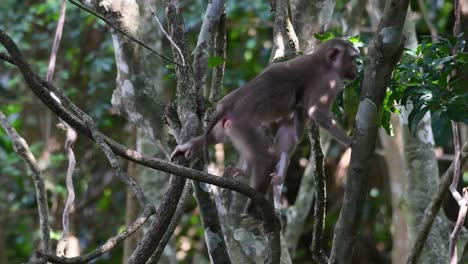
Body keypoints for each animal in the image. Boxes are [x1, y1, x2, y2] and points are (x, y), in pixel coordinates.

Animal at [172, 38, 358, 212]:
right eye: (354, 58)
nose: (356, 69)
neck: (322, 60)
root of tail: (228, 104)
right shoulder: (330, 81)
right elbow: (316, 113)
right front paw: (349, 142)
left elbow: (291, 127)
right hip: (242, 124)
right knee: (266, 157)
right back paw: (255, 206)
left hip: (229, 124)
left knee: (220, 135)